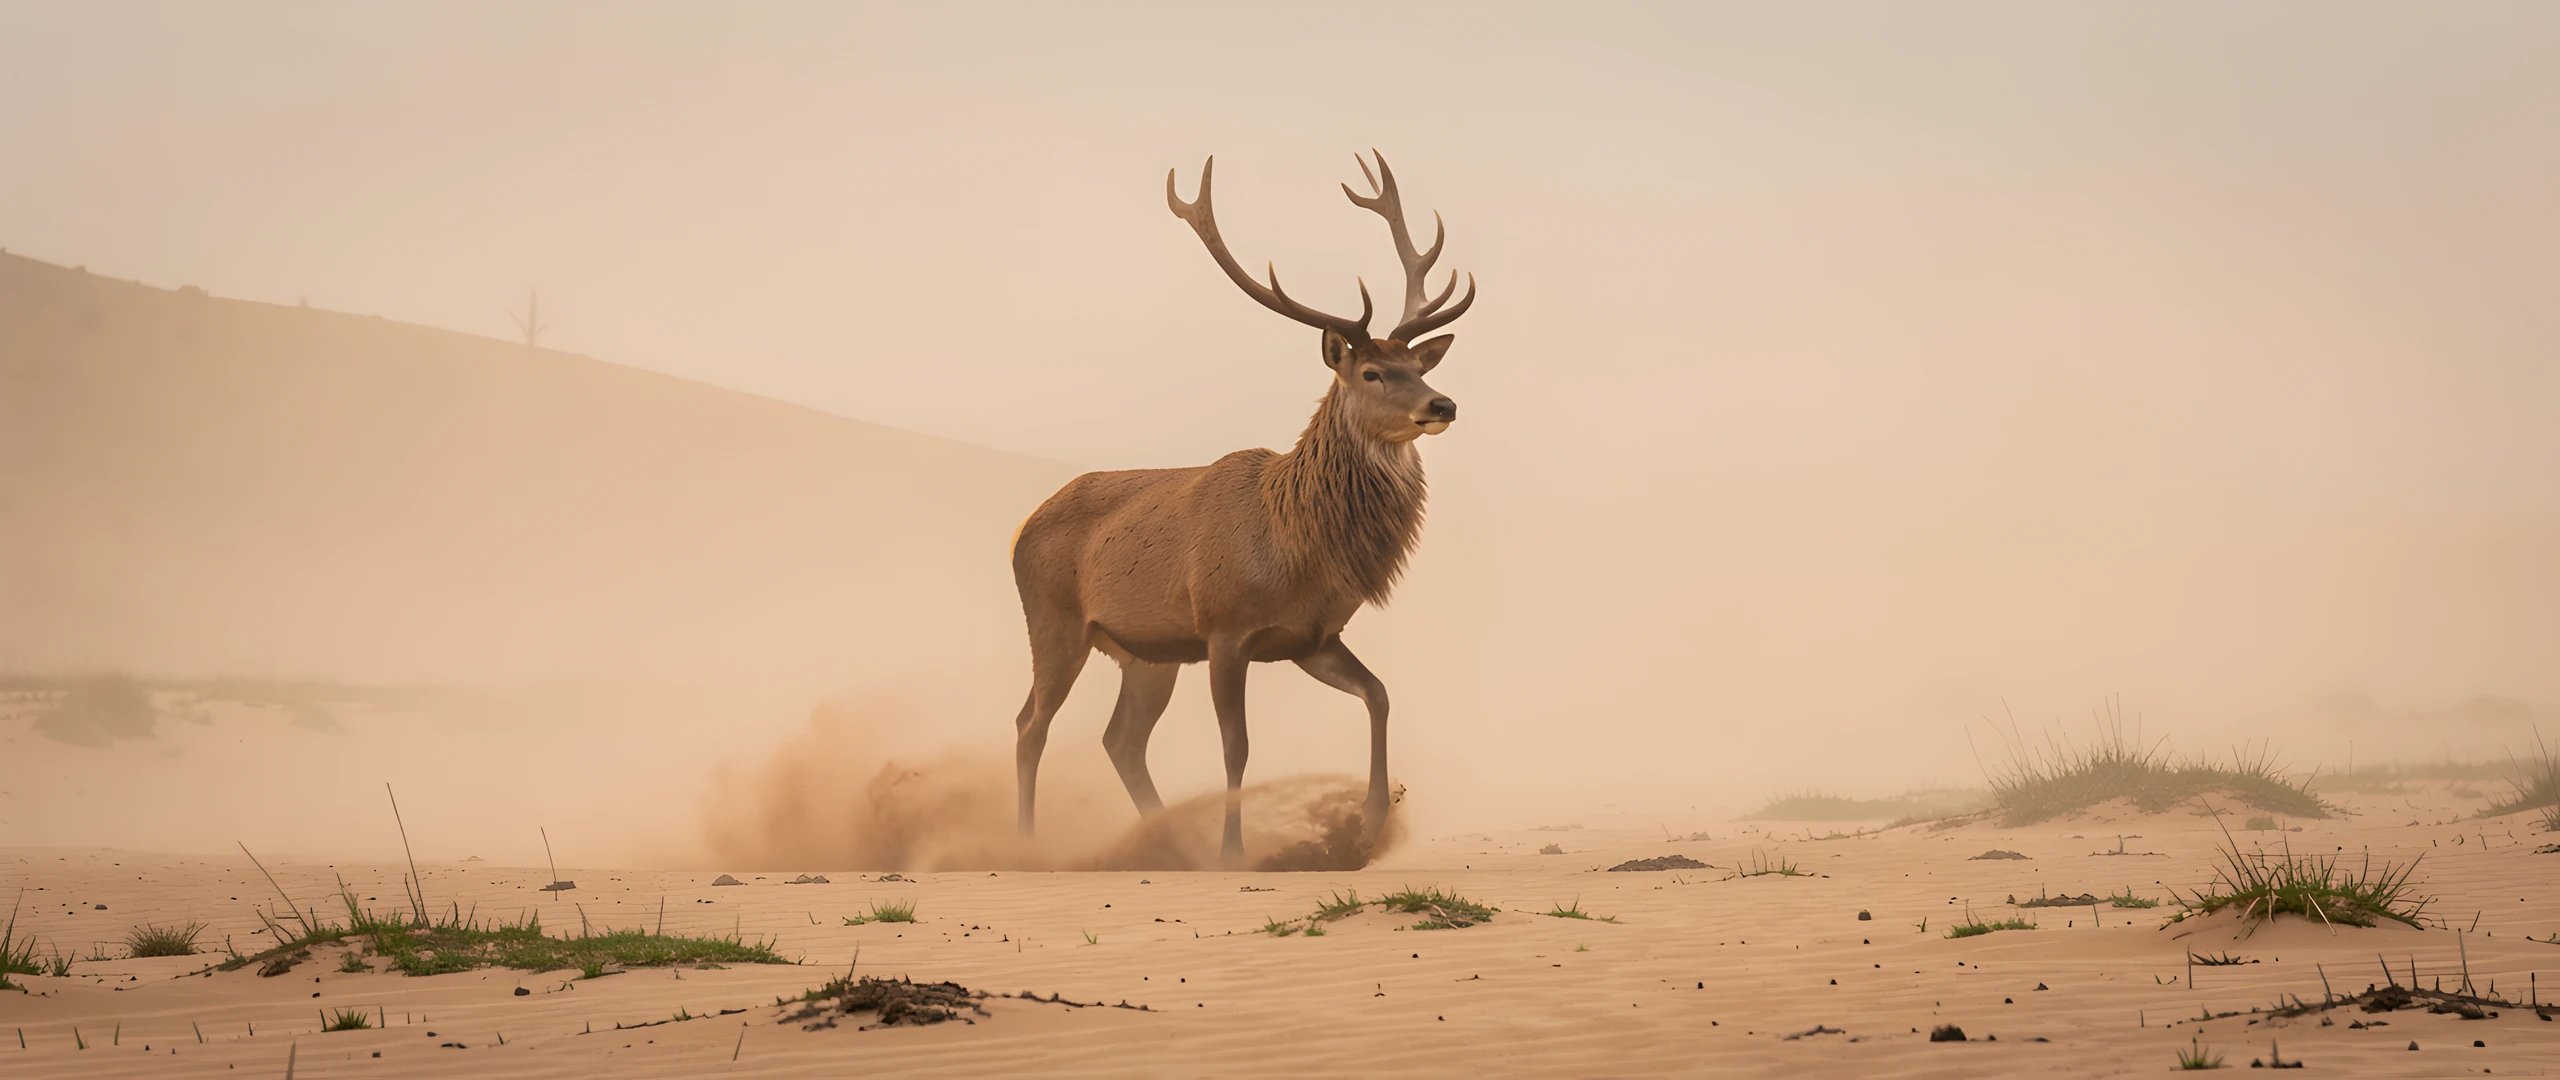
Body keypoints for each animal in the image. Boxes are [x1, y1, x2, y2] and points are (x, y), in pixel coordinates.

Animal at [1008, 151, 1475, 864]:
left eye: (1417, 368)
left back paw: (1166, 846)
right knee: (1030, 725)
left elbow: (1380, 694)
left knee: (1121, 740)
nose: (1442, 404)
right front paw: (1234, 853)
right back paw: (1029, 845)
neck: (1297, 546)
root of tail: (1018, 531)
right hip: (1054, 621)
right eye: (1371, 373)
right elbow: (1237, 746)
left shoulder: (1314, 636)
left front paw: (1366, 827)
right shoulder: (1224, 630)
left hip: (1147, 652)